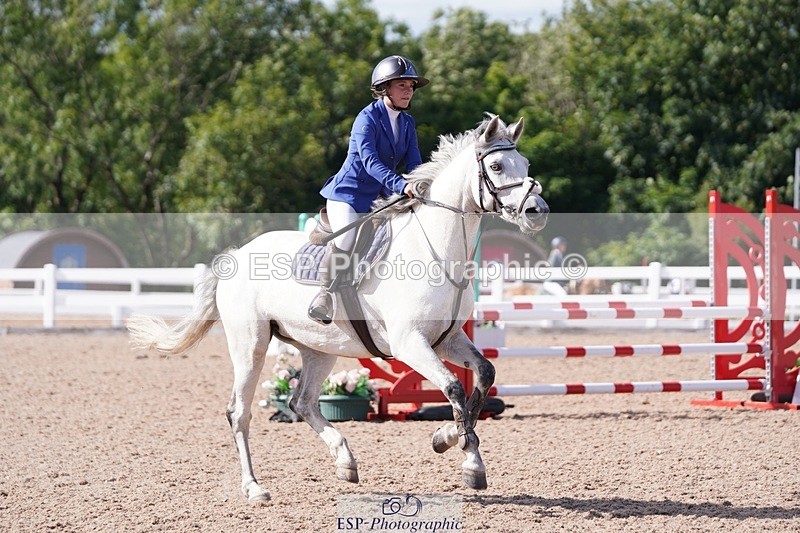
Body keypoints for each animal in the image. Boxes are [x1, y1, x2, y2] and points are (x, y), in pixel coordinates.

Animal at [127, 114, 549, 503]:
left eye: (526, 163)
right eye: (497, 166)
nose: (537, 211)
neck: (436, 249)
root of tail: (236, 255)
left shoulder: (447, 340)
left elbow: (482, 376)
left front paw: (447, 438)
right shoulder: (409, 343)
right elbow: (451, 388)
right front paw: (469, 462)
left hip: (318, 349)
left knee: (302, 402)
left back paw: (345, 460)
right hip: (251, 346)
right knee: (240, 412)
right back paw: (254, 488)